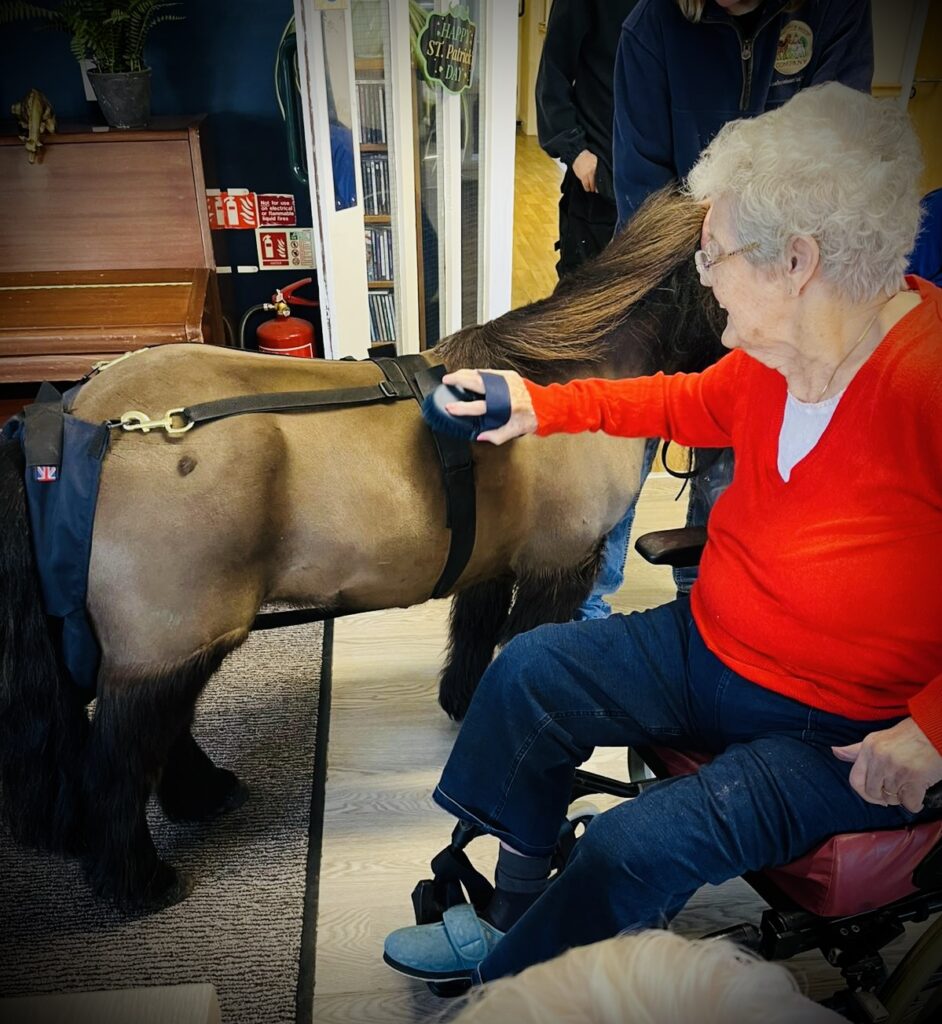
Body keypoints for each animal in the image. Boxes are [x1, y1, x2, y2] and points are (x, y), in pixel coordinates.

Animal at [0, 191, 724, 913]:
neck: (570, 378)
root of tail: (79, 418)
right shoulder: (559, 568)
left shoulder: (494, 562)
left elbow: (476, 636)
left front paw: (467, 708)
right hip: (170, 643)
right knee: (119, 765)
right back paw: (140, 882)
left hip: (173, 646)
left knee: (161, 739)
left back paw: (203, 798)